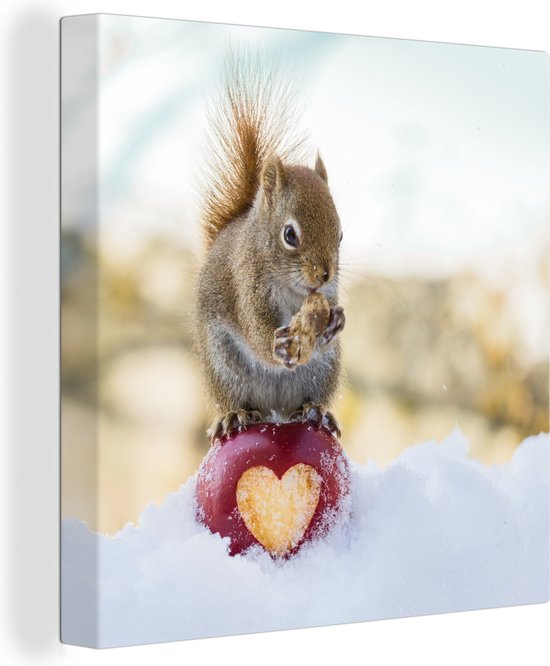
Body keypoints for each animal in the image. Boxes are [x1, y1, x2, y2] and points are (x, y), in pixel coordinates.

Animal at [194, 56, 345, 442]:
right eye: (290, 235)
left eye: (340, 235)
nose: (324, 275)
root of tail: (276, 411)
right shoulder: (246, 286)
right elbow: (254, 328)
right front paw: (275, 344)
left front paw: (336, 319)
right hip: (224, 366)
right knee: (238, 400)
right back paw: (234, 415)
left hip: (323, 370)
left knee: (307, 400)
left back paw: (315, 410)